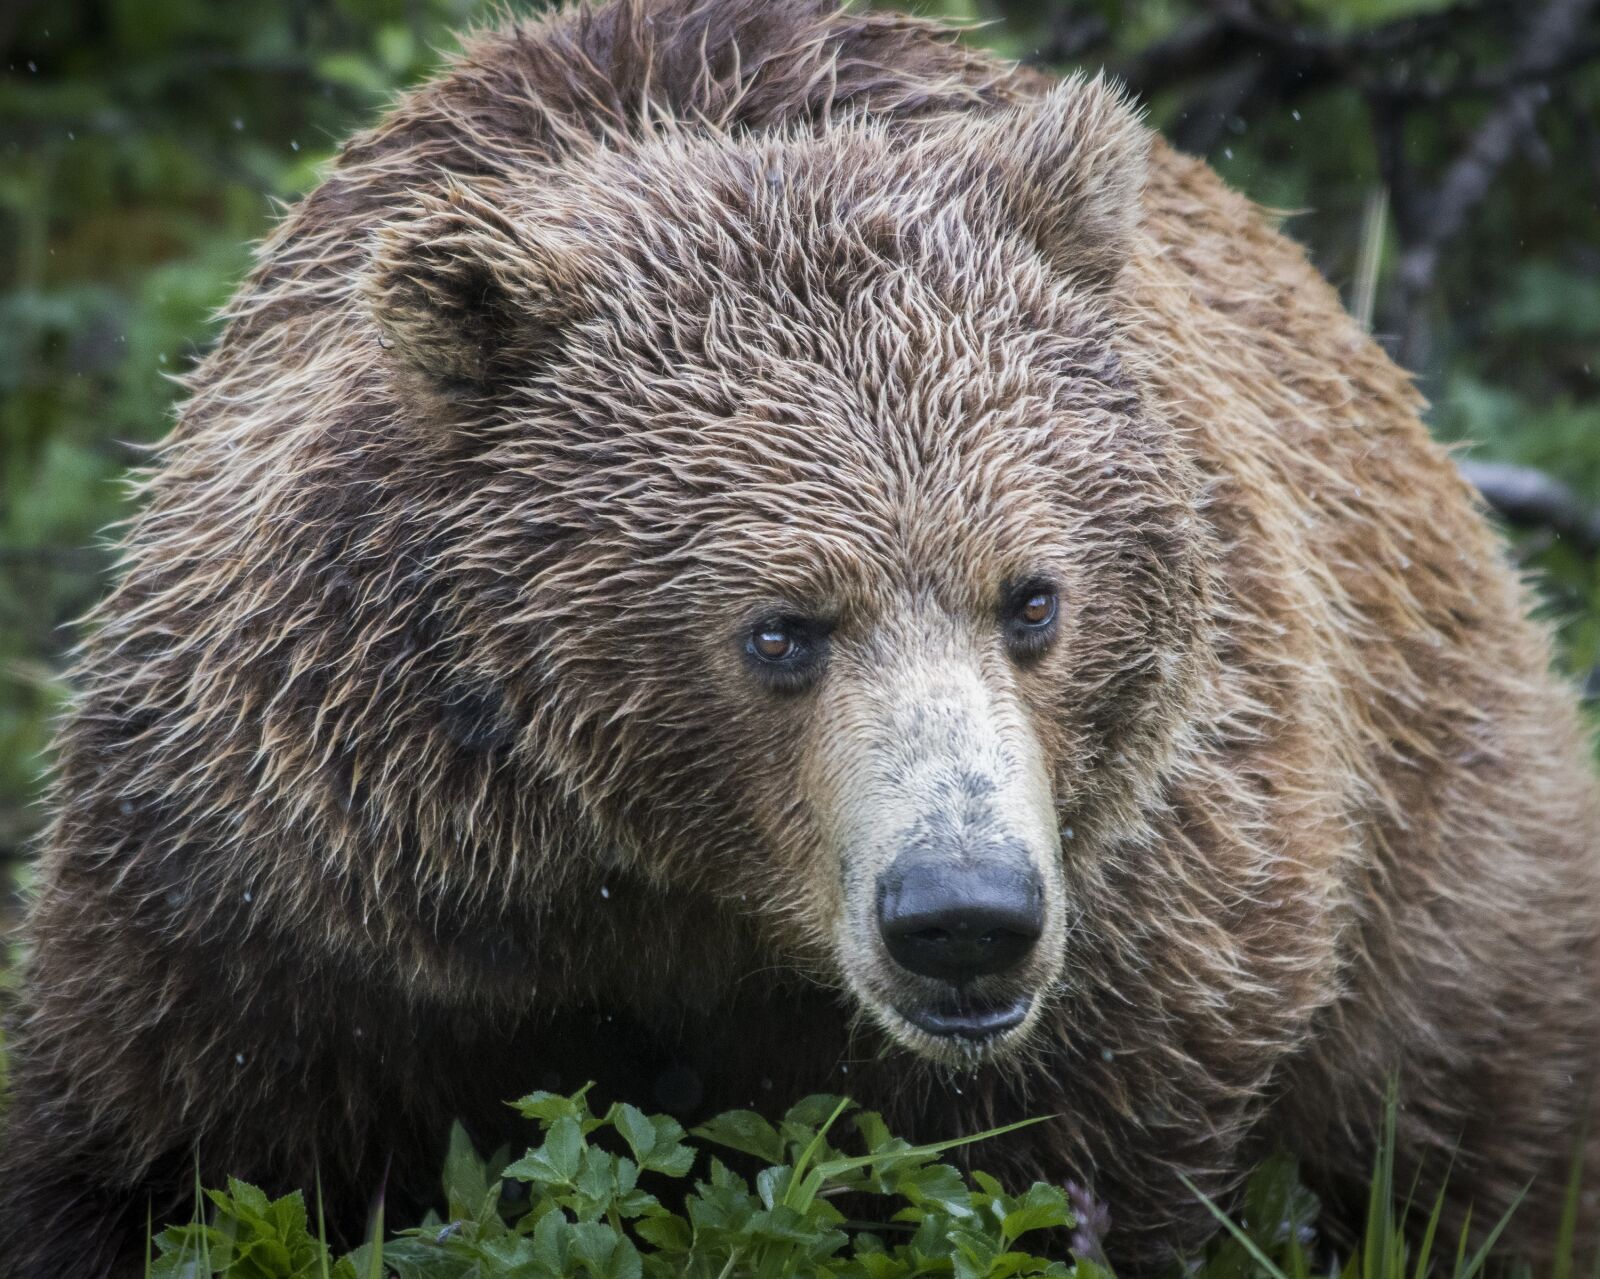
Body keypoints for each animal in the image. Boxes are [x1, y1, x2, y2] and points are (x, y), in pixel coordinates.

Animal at [3, 0, 1599, 1274]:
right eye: (781, 628)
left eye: (1033, 597)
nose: (964, 913)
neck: (677, 898)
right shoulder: (290, 883)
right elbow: (150, 1145)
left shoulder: (1156, 913)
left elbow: (1061, 1177)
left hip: (1450, 853)